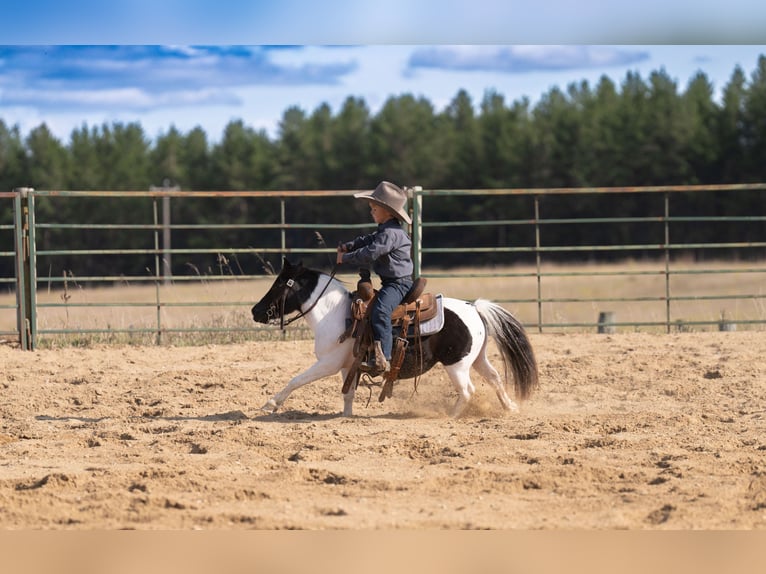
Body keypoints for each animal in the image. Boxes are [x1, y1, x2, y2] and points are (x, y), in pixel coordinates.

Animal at [250, 258, 538, 417]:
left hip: (456, 365)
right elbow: (348, 394)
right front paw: (346, 417)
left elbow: (296, 379)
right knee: (495, 378)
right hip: (476, 359)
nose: (255, 311)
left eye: (279, 284)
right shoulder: (347, 365)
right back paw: (510, 408)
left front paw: (270, 403)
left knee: (468, 391)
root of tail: (475, 307)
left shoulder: (328, 363)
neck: (333, 313)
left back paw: (450, 416)